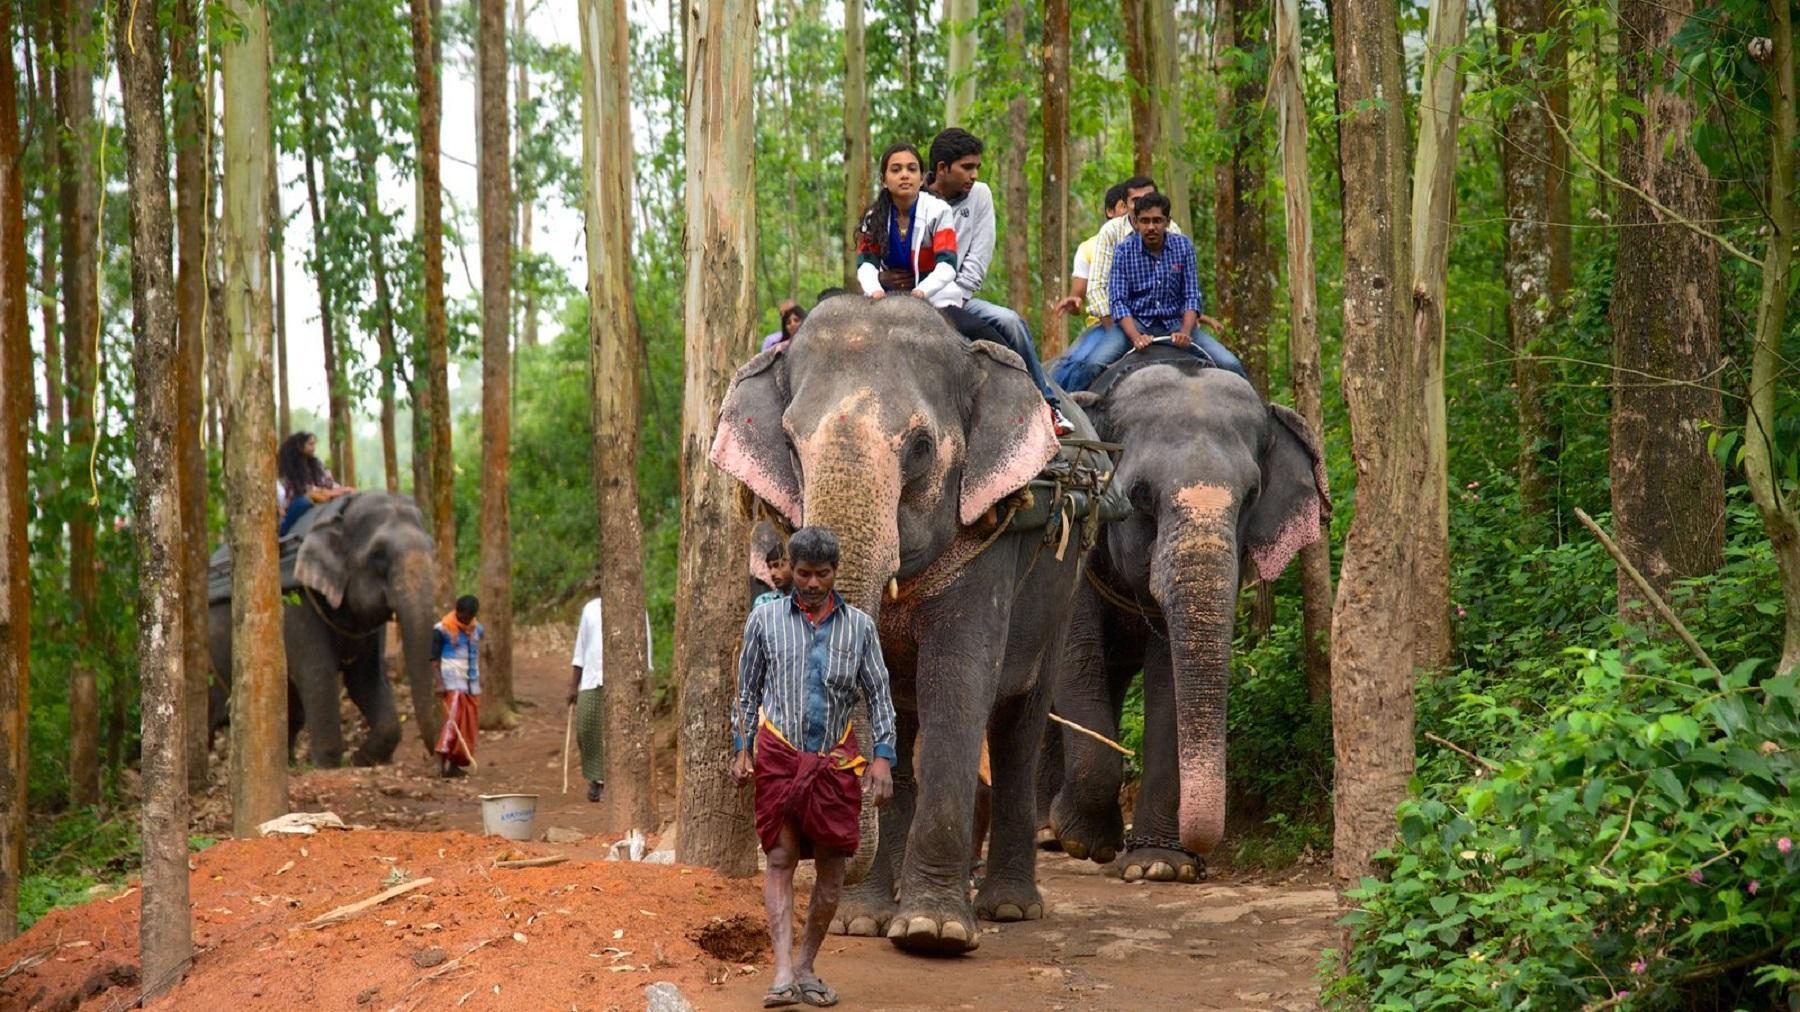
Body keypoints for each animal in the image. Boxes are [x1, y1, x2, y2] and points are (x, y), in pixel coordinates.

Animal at [208, 491, 443, 768]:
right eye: (378, 554)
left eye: (432, 548)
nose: (435, 758)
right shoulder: (297, 602)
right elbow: (318, 674)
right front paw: (329, 766)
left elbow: (365, 679)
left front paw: (360, 759)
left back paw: (289, 765)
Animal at [711, 296, 1089, 954]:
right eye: (790, 444)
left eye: (918, 448)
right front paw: (858, 921)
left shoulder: (988, 542)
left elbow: (957, 687)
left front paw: (933, 933)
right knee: (906, 723)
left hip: (1062, 590)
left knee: (1018, 724)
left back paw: (1010, 908)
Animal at [1047, 348, 1329, 882]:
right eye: (1138, 495)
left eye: (1252, 496)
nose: (1202, 857)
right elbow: (1075, 657)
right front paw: (1083, 842)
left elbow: (1168, 680)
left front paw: (1159, 866)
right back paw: (1048, 835)